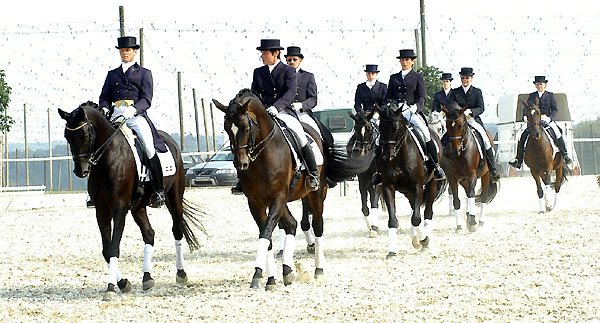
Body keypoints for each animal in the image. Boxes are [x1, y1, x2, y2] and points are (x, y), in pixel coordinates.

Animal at [58, 102, 204, 302]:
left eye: (85, 134)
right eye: (67, 136)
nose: (81, 171)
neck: (108, 159)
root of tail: (171, 142)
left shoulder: (119, 209)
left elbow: (114, 247)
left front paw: (111, 288)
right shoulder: (101, 210)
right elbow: (106, 249)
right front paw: (122, 283)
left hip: (174, 198)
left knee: (177, 230)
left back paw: (181, 274)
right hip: (138, 207)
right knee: (149, 234)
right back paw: (147, 277)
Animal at [211, 88, 370, 292]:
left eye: (246, 128)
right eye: (226, 128)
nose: (241, 164)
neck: (262, 156)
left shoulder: (278, 197)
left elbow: (266, 232)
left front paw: (257, 275)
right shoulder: (256, 202)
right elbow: (267, 235)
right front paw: (269, 278)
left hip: (315, 194)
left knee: (317, 225)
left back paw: (318, 269)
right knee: (292, 224)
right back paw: (287, 270)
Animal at [376, 105, 446, 260]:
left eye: (396, 128)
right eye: (380, 127)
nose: (387, 156)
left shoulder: (417, 187)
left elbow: (416, 218)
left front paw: (424, 240)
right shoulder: (388, 187)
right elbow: (393, 220)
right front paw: (392, 251)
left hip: (431, 184)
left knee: (427, 212)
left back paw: (424, 241)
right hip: (407, 191)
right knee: (415, 209)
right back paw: (415, 239)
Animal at [442, 104, 500, 233]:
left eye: (461, 125)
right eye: (447, 126)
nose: (455, 150)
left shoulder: (472, 174)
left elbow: (472, 194)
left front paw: (473, 223)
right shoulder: (452, 177)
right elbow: (456, 200)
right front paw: (459, 226)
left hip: (486, 175)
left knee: (482, 196)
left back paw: (480, 221)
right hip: (463, 180)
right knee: (468, 192)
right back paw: (468, 216)